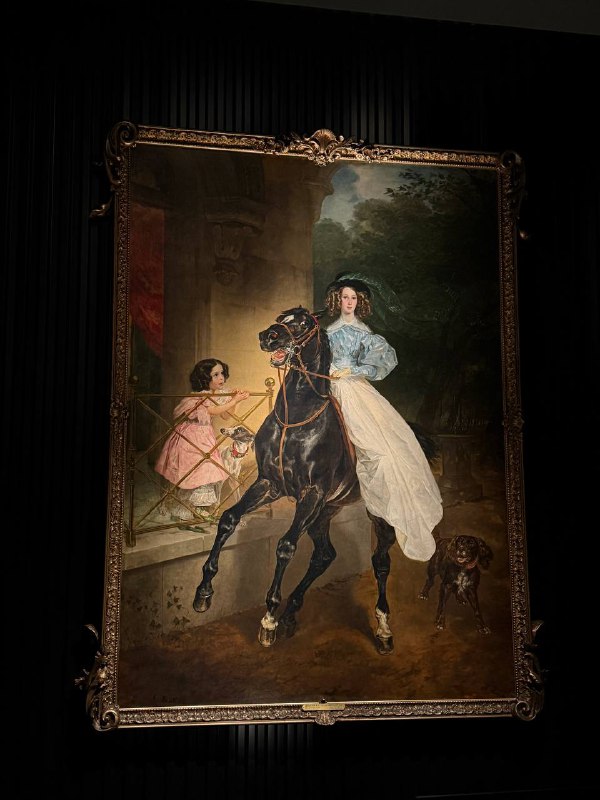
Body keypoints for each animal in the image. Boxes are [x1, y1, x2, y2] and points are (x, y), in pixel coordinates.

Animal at [193, 306, 420, 654]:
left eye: (301, 323)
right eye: (280, 318)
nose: (267, 336)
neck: (297, 418)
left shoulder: (309, 494)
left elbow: (286, 546)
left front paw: (268, 619)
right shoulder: (269, 485)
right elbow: (229, 519)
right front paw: (204, 591)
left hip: (377, 516)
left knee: (381, 563)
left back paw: (383, 630)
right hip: (324, 512)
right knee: (325, 554)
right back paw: (291, 613)